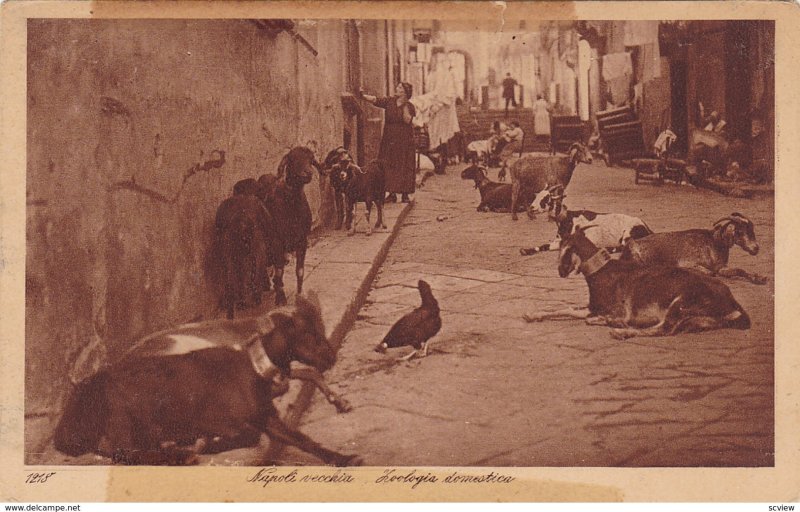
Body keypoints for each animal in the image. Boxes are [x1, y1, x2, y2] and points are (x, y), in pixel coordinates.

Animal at [53, 290, 360, 466]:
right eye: (310, 335)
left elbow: (308, 380)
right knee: (120, 448)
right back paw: (181, 450)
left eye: (323, 327)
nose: (332, 358)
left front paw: (339, 406)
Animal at [264, 146, 324, 304]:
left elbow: (300, 270)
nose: (308, 173)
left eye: (311, 160)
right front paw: (280, 298)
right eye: (293, 158)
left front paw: (300, 294)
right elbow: (279, 270)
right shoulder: (277, 241)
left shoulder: (302, 240)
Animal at [520, 185, 656, 255]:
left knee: (623, 247)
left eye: (546, 198)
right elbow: (543, 246)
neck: (569, 219)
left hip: (627, 234)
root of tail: (646, 227)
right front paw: (525, 250)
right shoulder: (558, 241)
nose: (531, 207)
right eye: (537, 196)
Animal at [520, 225, 752, 338]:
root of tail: (733, 302)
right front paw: (533, 314)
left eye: (566, 248)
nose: (561, 271)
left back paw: (620, 331)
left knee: (663, 330)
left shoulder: (618, 310)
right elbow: (566, 308)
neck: (603, 271)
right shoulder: (592, 307)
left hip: (680, 303)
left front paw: (613, 322)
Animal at [620, 211, 768, 284]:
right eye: (740, 231)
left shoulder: (721, 268)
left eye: (752, 230)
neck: (713, 242)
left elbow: (739, 270)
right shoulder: (688, 263)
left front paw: (759, 278)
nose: (756, 248)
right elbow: (710, 273)